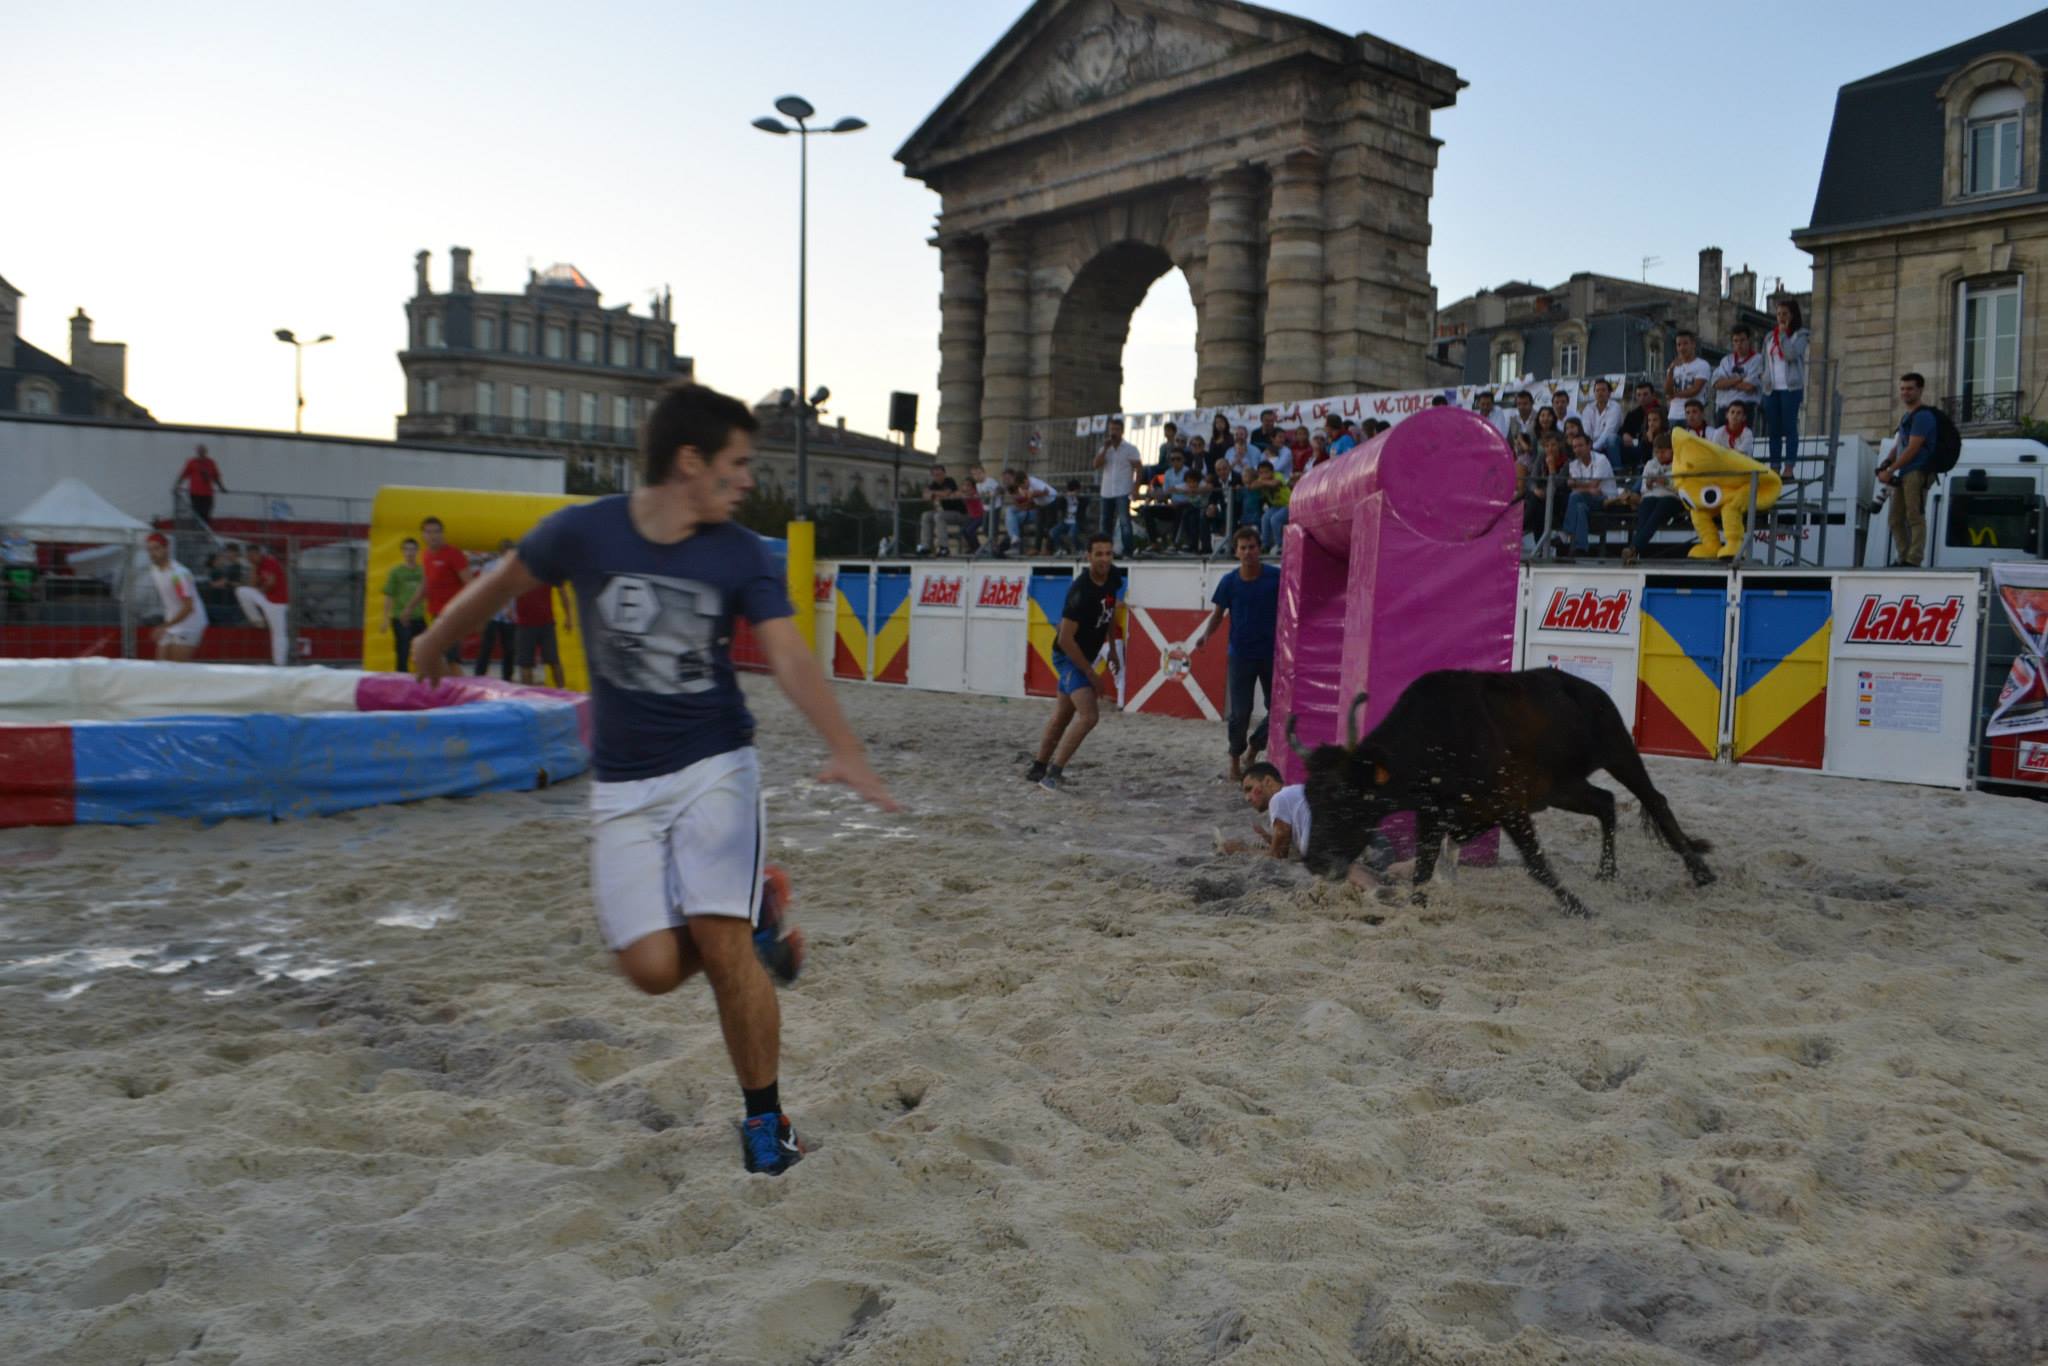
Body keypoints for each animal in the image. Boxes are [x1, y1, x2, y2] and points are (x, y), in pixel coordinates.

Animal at [1294, 671, 1712, 917]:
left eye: (1343, 798)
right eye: (1310, 800)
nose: (1313, 860)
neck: (1436, 735)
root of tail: (1590, 690)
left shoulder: (1509, 805)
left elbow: (1537, 864)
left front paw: (1577, 906)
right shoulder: (1432, 814)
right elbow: (1423, 868)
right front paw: (1419, 906)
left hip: (1620, 752)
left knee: (1654, 800)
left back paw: (1700, 870)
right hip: (1562, 787)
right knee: (1605, 804)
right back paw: (1606, 872)